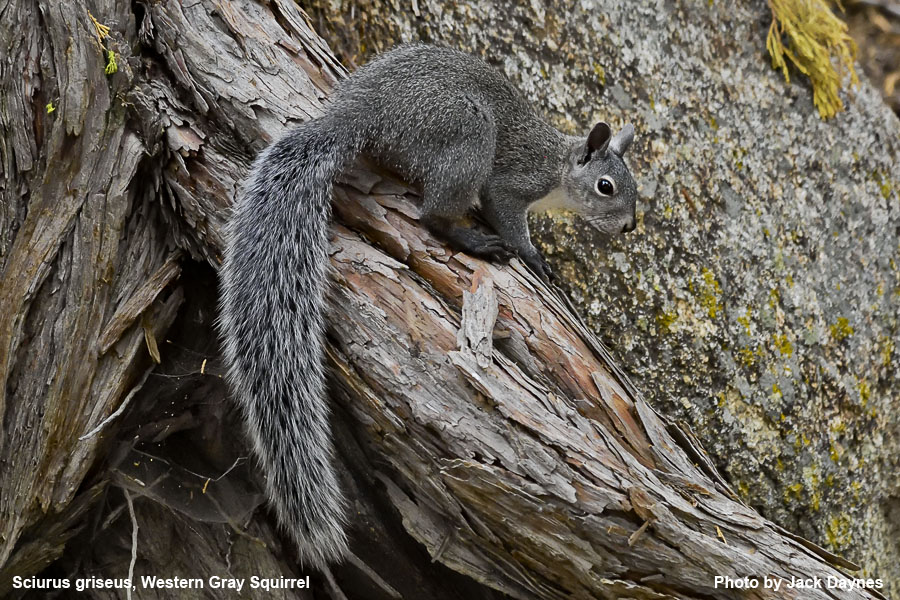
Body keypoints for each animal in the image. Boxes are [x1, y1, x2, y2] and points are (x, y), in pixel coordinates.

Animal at [218, 43, 639, 566]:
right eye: (606, 186)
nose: (630, 226)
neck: (559, 167)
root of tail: (359, 113)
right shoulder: (512, 182)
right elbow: (506, 213)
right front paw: (535, 257)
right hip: (465, 134)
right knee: (433, 216)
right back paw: (474, 241)